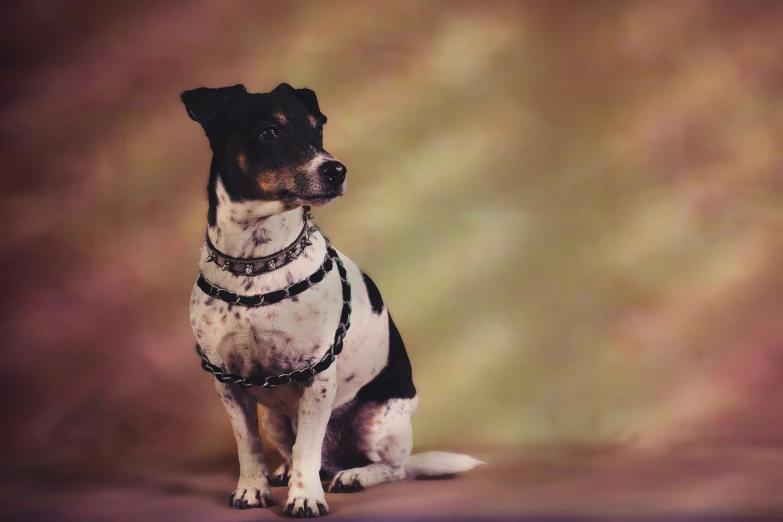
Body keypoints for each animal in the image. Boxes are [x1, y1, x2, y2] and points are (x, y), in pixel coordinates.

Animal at [183, 83, 480, 512]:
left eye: (317, 129)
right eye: (269, 132)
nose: (336, 169)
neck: (257, 264)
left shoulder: (317, 377)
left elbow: (307, 447)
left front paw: (305, 498)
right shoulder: (226, 381)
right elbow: (247, 444)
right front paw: (252, 488)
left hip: (378, 424)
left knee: (391, 469)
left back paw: (354, 475)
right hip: (275, 420)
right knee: (295, 451)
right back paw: (287, 472)